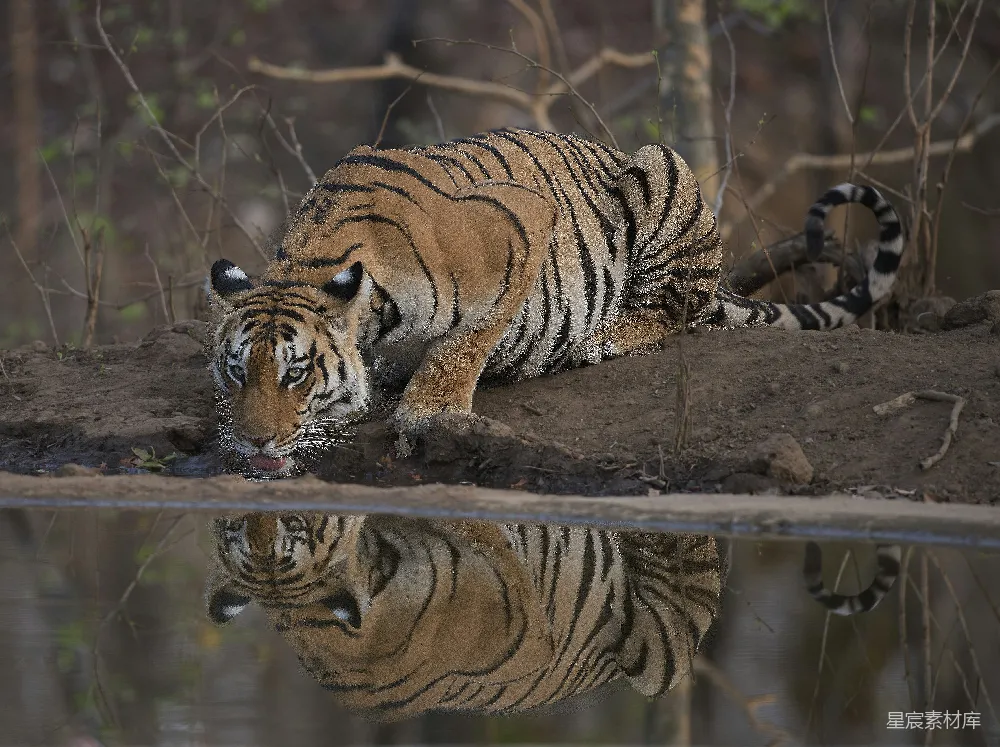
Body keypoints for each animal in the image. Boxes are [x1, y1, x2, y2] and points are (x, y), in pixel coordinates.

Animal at [205, 128, 905, 477]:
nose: (252, 443)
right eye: (237, 372)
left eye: (296, 374)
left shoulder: (518, 221)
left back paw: (597, 337)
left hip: (661, 170)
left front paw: (427, 409)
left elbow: (465, 342)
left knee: (677, 308)